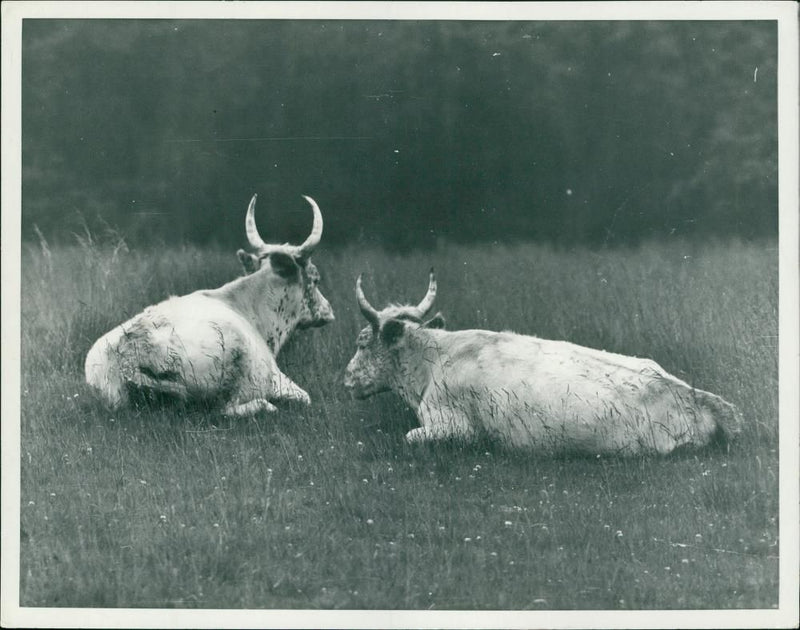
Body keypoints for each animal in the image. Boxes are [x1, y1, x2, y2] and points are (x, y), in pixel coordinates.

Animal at [86, 195, 336, 418]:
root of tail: (128, 352)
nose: (329, 310)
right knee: (225, 409)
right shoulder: (277, 378)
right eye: (315, 278)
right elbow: (305, 397)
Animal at [344, 272, 744, 460]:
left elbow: (409, 437)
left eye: (362, 342)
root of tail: (695, 394)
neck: (432, 362)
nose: (346, 379)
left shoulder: (455, 428)